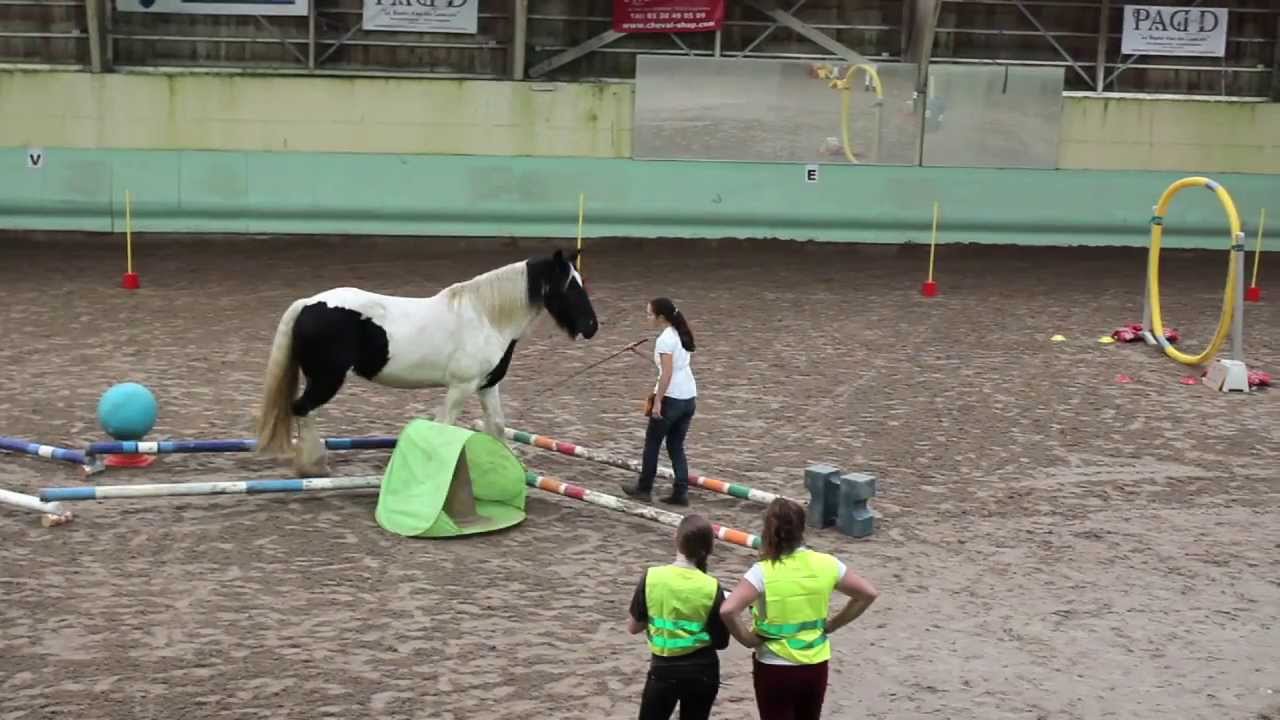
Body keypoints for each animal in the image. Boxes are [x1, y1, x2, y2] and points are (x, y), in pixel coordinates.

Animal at [254, 248, 598, 477]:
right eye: (569, 286)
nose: (592, 326)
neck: (486, 317)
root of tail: (307, 304)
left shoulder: (487, 385)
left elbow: (498, 426)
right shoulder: (461, 387)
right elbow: (444, 425)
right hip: (327, 379)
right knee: (303, 409)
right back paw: (313, 466)